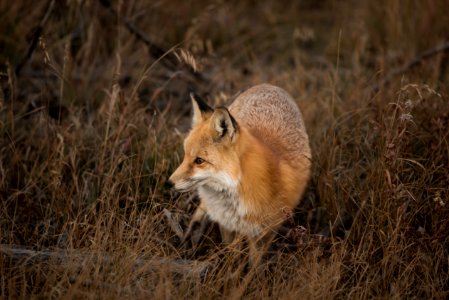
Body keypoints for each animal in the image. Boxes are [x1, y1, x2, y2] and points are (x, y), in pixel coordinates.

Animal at [168, 83, 312, 262]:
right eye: (185, 155)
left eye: (199, 161)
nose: (169, 183)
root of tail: (269, 85)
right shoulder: (226, 224)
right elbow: (231, 253)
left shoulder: (266, 231)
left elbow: (254, 264)